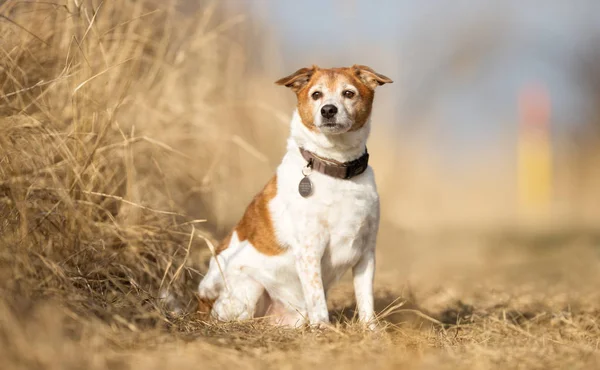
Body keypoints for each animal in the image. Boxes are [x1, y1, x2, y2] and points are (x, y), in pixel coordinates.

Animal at [198, 64, 394, 330]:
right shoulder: (310, 250)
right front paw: (323, 330)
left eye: (349, 93)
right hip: (249, 285)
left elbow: (366, 301)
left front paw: (370, 331)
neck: (337, 171)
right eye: (316, 94)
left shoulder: (366, 252)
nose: (328, 110)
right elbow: (318, 299)